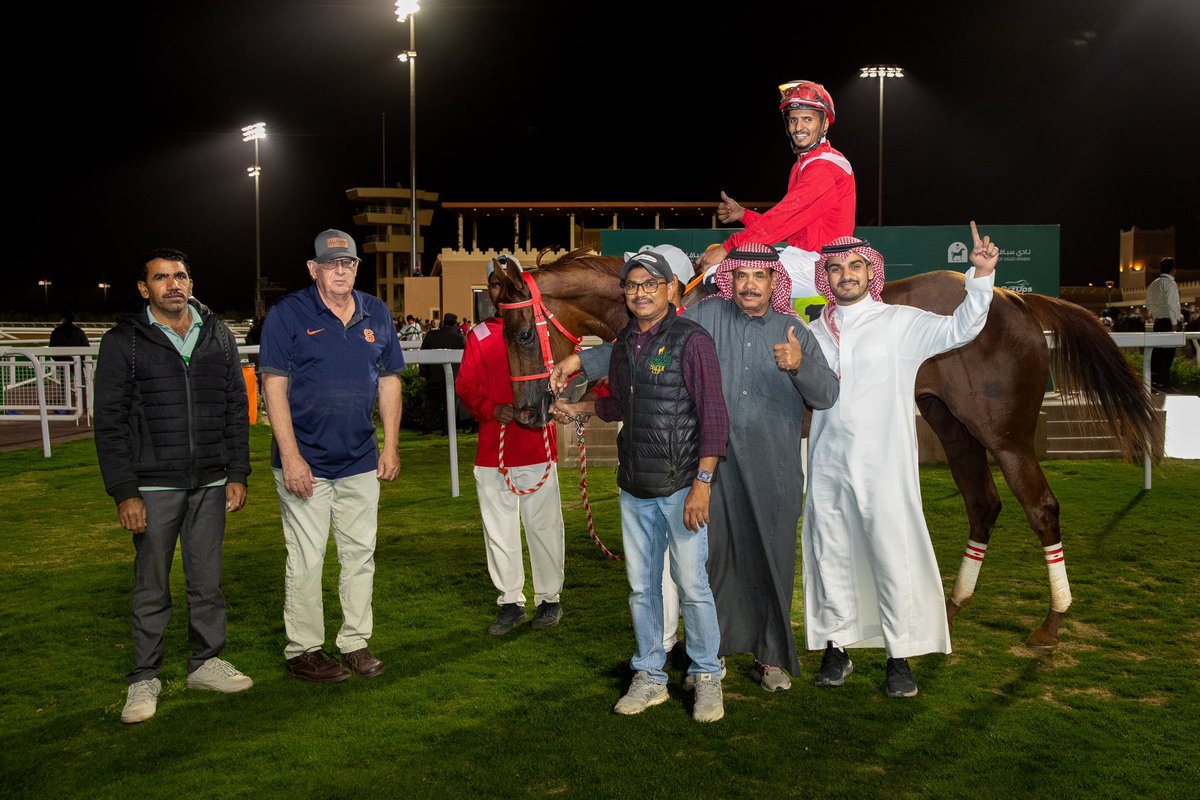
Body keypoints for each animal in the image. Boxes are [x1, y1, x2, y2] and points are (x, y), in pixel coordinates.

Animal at [489, 250, 1161, 652]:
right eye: (497, 332)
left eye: (521, 332)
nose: (526, 413)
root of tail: (1014, 300)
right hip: (952, 426)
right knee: (984, 504)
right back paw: (955, 601)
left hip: (1006, 435)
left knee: (1041, 507)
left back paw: (1052, 621)